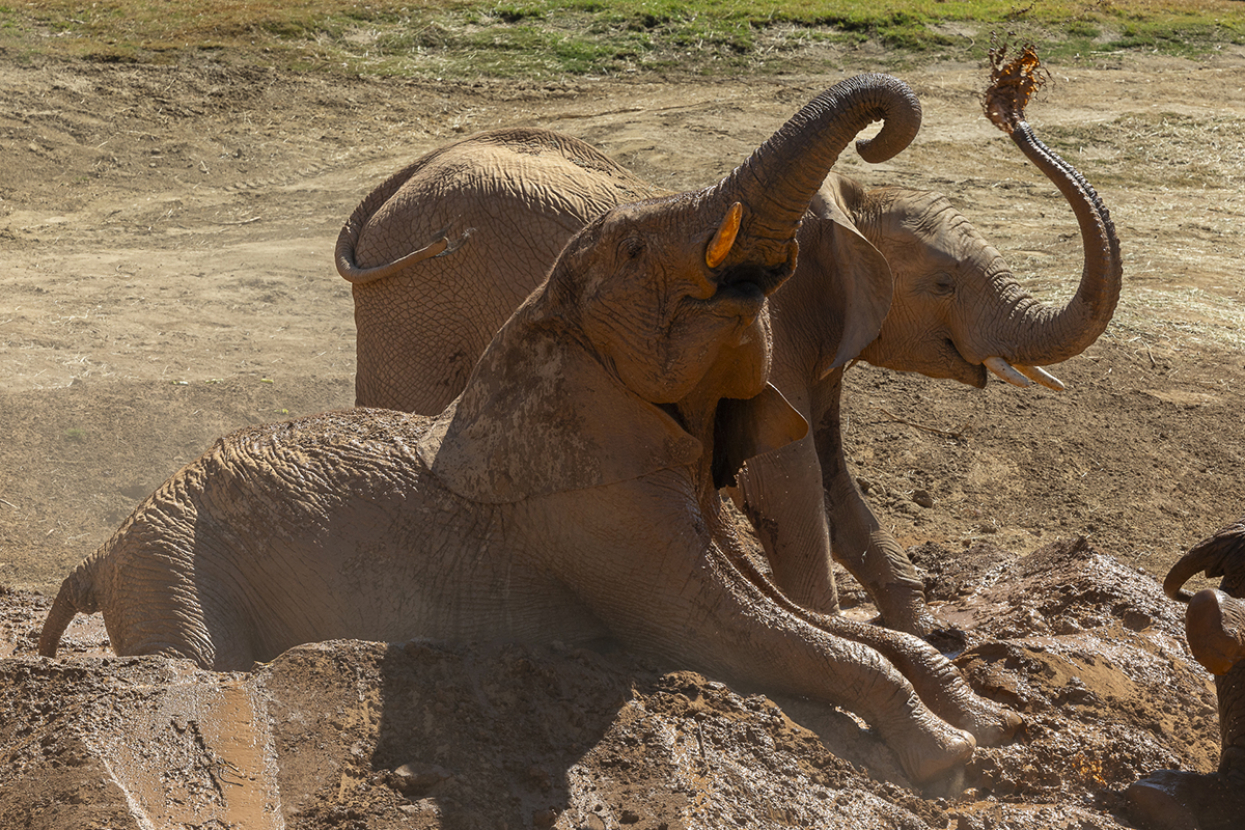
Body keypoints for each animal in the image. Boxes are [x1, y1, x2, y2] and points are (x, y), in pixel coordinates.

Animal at [39, 75, 1021, 785]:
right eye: (634, 250)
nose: (880, 130)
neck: (542, 333)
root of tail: (100, 549)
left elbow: (819, 626)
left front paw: (994, 720)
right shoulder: (592, 514)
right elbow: (733, 633)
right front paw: (951, 758)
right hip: (173, 569)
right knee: (197, 662)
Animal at [335, 49, 1122, 637]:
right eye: (943, 285)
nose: (1012, 99)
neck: (846, 202)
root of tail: (390, 189)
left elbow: (830, 473)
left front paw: (930, 636)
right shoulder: (772, 331)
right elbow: (787, 478)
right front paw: (835, 622)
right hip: (423, 299)